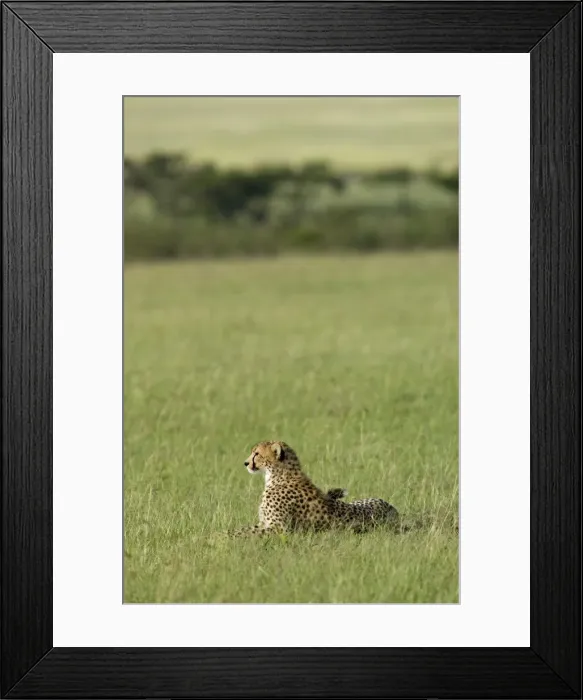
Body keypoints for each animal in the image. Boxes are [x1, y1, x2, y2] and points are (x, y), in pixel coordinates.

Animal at [231, 440, 398, 536]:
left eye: (257, 454)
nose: (246, 463)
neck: (277, 475)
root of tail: (394, 510)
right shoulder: (265, 523)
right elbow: (244, 529)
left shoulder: (278, 528)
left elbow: (243, 532)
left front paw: (225, 537)